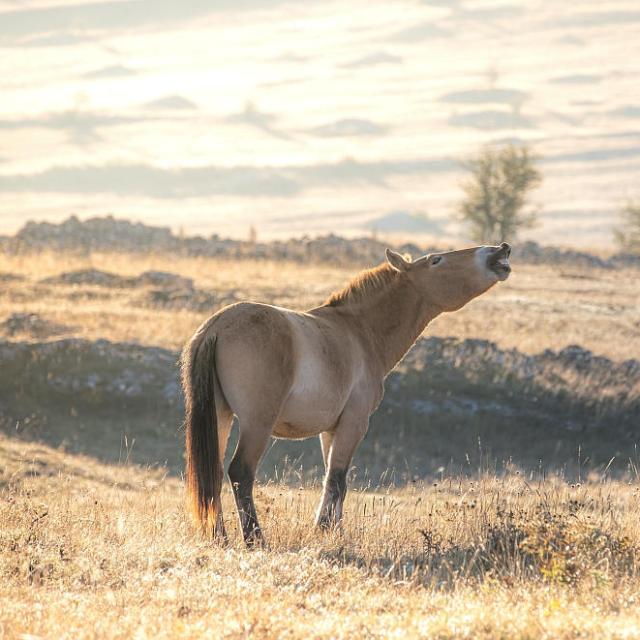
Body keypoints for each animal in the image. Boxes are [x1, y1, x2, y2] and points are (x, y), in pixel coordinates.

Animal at [181, 242, 512, 545]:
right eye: (436, 260)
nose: (500, 250)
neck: (359, 331)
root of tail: (217, 327)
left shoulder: (330, 430)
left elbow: (333, 478)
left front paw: (332, 530)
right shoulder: (354, 422)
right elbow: (338, 479)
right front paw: (325, 531)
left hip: (221, 416)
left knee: (212, 473)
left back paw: (219, 538)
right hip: (256, 423)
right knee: (240, 473)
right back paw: (255, 539)